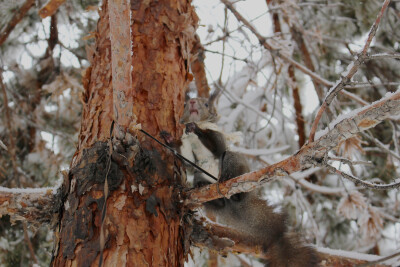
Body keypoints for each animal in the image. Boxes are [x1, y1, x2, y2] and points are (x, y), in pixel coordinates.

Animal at [178, 93, 318, 266]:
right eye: (184, 104)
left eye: (205, 104)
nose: (191, 102)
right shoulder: (189, 152)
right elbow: (187, 160)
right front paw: (169, 138)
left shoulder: (217, 138)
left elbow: (216, 146)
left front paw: (195, 128)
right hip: (200, 173)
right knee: (216, 198)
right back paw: (204, 187)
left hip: (232, 159)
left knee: (230, 166)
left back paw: (230, 184)